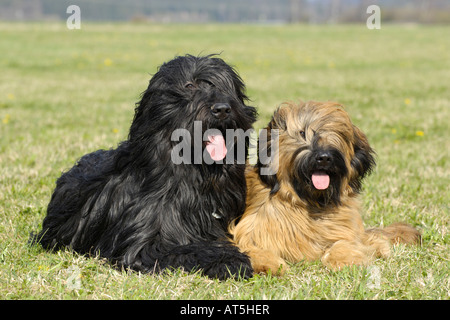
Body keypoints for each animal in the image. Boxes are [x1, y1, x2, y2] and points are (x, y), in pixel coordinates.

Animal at [32, 55, 256, 280]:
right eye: (189, 86)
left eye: (225, 87)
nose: (222, 108)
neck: (194, 174)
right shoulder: (145, 242)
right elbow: (187, 249)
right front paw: (228, 259)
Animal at [230, 101, 420, 274]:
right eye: (302, 132)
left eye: (337, 134)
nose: (324, 157)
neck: (311, 202)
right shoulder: (251, 230)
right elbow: (251, 247)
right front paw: (268, 265)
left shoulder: (345, 231)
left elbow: (344, 243)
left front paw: (346, 260)